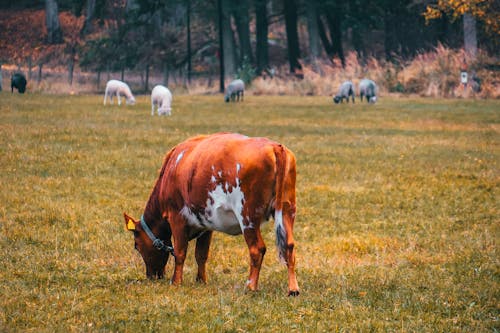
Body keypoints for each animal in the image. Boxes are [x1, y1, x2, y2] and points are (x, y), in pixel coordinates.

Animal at [123, 131, 298, 294]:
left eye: (137, 245)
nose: (152, 276)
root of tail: (274, 146)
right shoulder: (206, 224)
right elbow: (201, 254)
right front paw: (201, 280)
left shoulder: (177, 217)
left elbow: (180, 252)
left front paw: (176, 282)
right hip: (287, 210)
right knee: (288, 246)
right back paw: (293, 289)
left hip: (247, 217)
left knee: (257, 249)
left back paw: (251, 286)